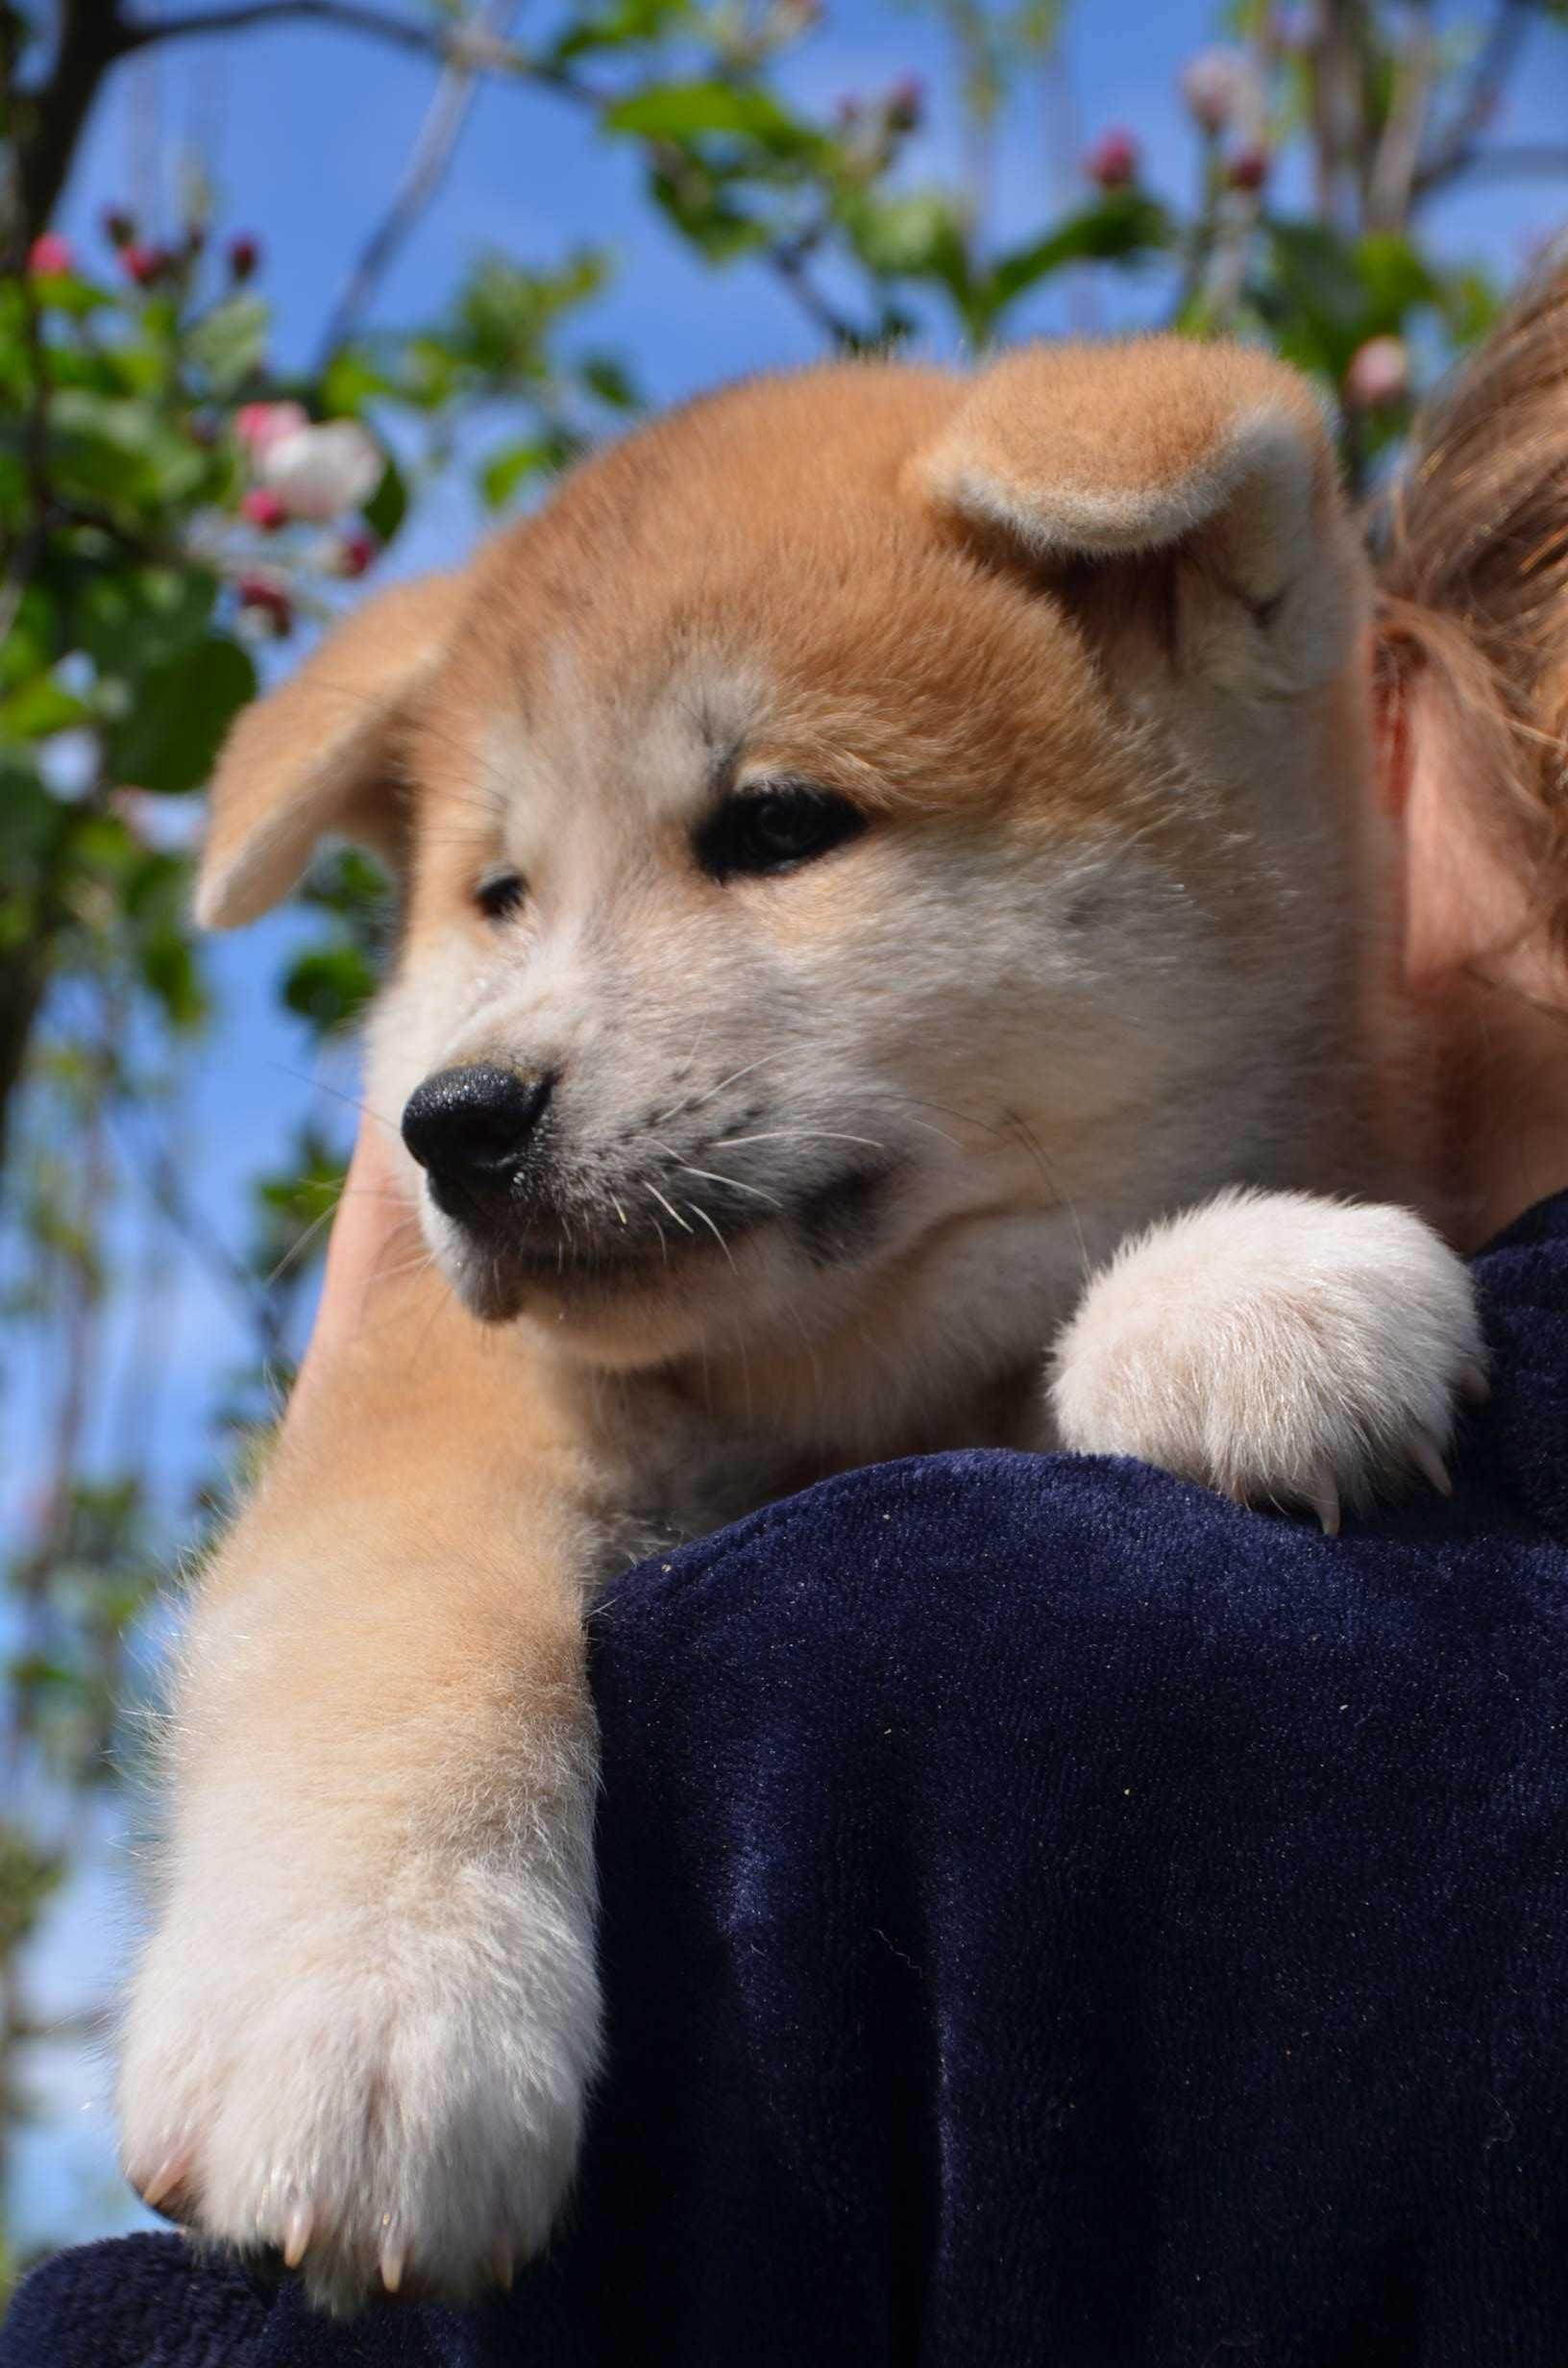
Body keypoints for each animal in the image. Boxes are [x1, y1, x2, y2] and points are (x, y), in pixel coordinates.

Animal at [119, 338, 1487, 2310]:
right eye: (497, 896)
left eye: (777, 828)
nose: (455, 1123)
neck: (824, 1393)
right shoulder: (450, 1398)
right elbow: (392, 1622)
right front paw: (366, 2000)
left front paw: (1231, 1293)